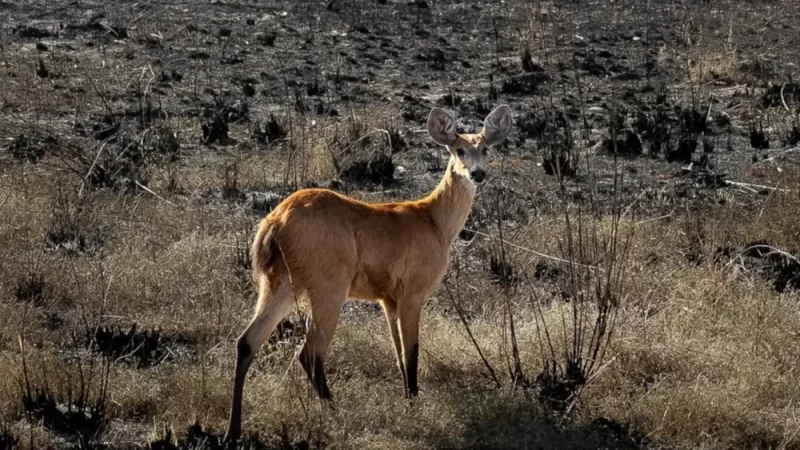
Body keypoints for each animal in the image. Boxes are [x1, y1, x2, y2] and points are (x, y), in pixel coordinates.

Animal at [225, 103, 512, 442]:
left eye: (485, 148)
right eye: (459, 150)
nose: (477, 173)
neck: (434, 222)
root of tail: (275, 220)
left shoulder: (387, 299)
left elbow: (399, 355)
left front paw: (408, 399)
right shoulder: (412, 292)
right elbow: (412, 353)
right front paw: (414, 405)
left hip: (279, 282)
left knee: (247, 340)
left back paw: (234, 431)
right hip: (328, 285)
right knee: (309, 352)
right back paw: (336, 413)